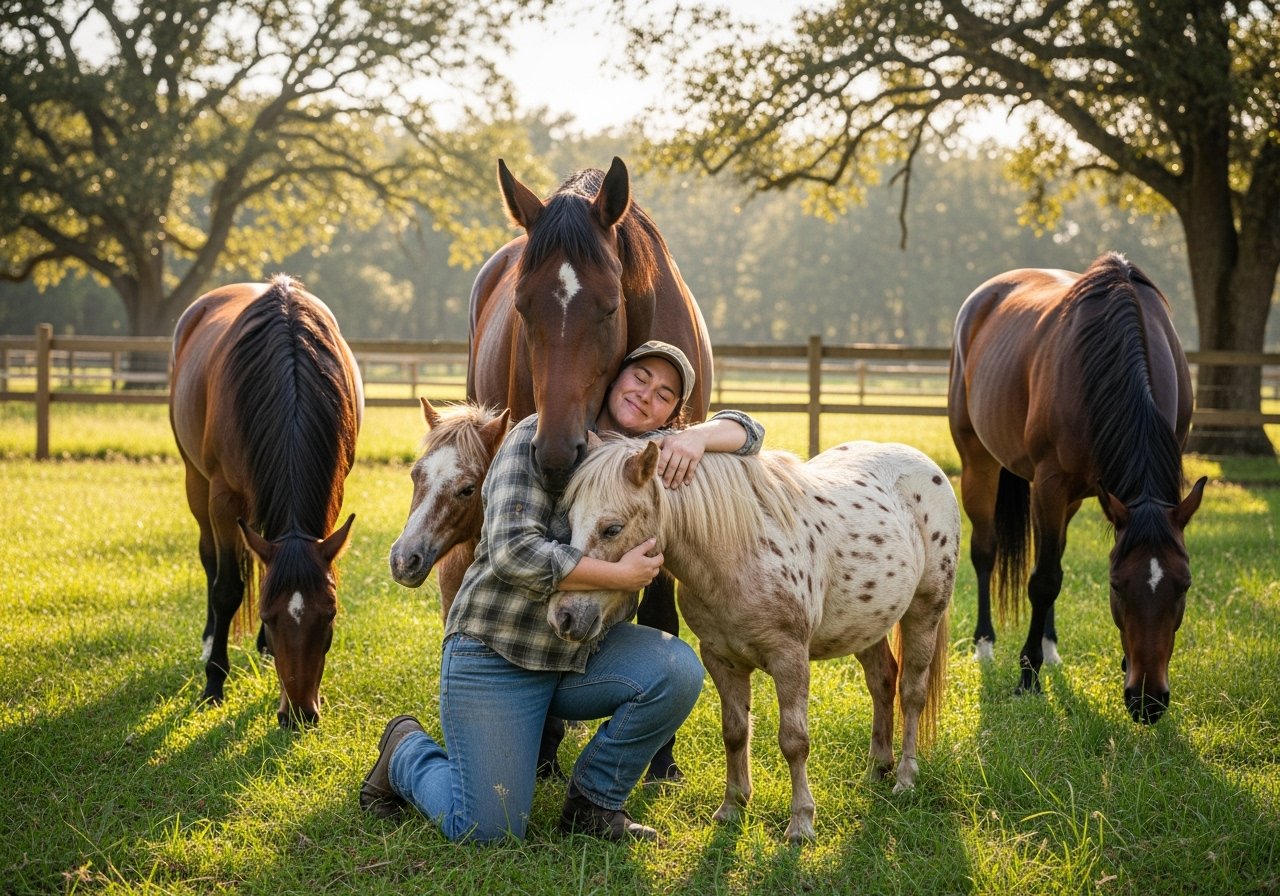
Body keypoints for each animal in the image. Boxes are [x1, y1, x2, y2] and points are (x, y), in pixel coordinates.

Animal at [170, 276, 362, 728]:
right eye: (268, 617)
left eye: (330, 614)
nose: (300, 714)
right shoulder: (223, 499)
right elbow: (226, 589)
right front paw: (214, 683)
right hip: (196, 486)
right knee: (210, 561)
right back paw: (210, 641)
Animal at [547, 436, 959, 841]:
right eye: (567, 524)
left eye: (612, 529)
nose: (563, 616)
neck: (738, 555)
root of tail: (923, 463)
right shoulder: (721, 659)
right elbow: (734, 732)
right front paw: (732, 807)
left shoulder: (789, 659)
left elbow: (794, 741)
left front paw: (801, 823)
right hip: (867, 626)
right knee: (882, 682)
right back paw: (876, 769)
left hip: (924, 613)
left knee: (911, 692)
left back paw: (904, 778)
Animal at [948, 252, 1206, 724]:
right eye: (1116, 586)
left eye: (1184, 586)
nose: (1147, 700)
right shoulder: (1049, 483)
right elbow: (1043, 579)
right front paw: (1026, 676)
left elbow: (1054, 569)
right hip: (980, 463)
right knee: (986, 552)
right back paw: (985, 645)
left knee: (1055, 552)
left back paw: (1050, 647)